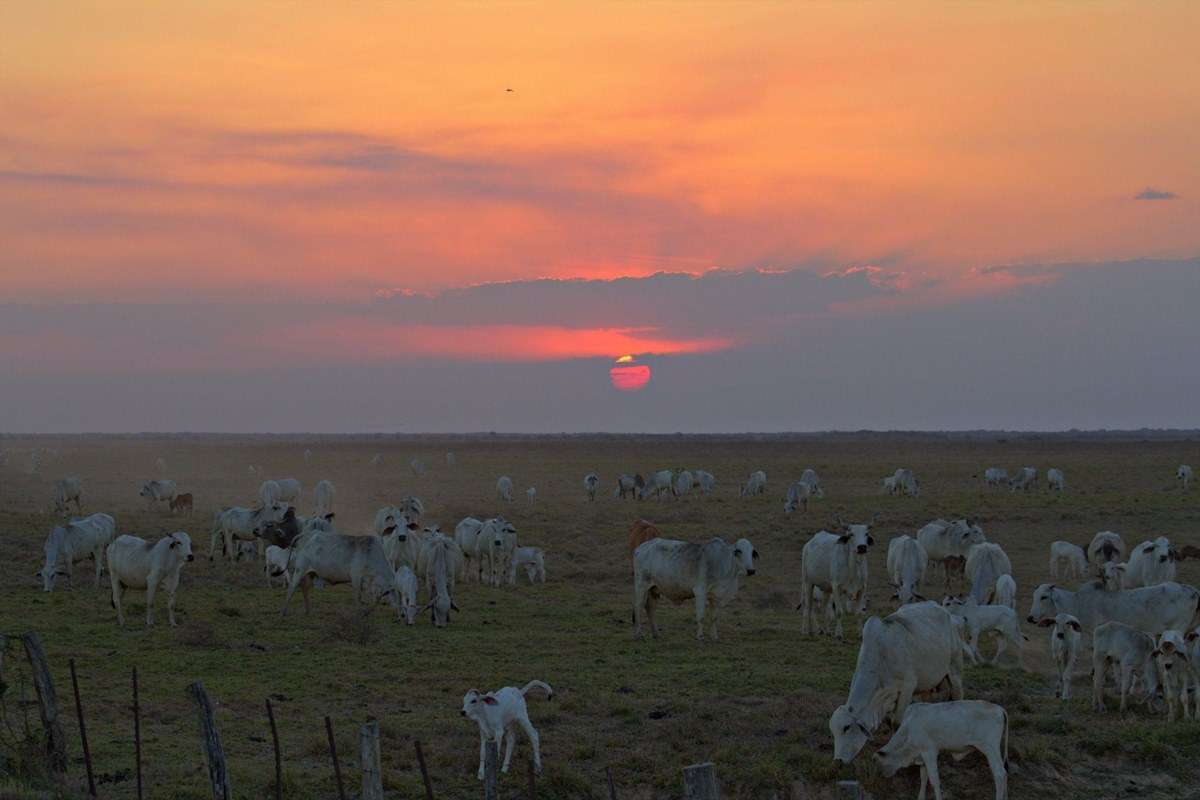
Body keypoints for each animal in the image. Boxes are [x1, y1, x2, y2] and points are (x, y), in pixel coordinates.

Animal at [830, 604, 960, 767]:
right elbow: (888, 721)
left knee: (958, 694)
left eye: (846, 728)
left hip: (954, 669)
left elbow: (897, 722)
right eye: (833, 731)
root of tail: (942, 609)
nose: (838, 761)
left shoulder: (907, 687)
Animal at [873, 700, 1003, 800]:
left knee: (1000, 774)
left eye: (879, 763)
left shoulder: (929, 752)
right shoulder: (922, 757)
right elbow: (923, 778)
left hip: (990, 749)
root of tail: (999, 709)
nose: (884, 776)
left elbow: (934, 781)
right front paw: (920, 797)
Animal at [1022, 578, 1200, 633]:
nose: (1030, 617)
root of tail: (1193, 591)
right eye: (1034, 596)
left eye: (1044, 597)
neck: (1077, 601)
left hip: (1177, 629)